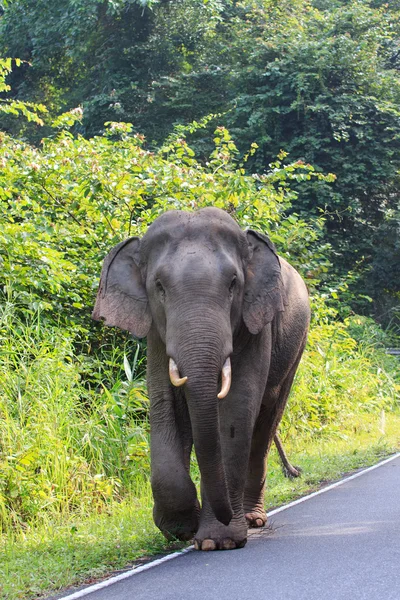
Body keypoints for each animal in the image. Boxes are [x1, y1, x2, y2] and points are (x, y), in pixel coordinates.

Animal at [92, 209, 310, 552]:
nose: (223, 516)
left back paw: (252, 519)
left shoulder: (255, 326)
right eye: (159, 286)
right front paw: (181, 529)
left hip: (295, 347)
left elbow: (236, 409)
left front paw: (217, 541)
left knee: (264, 422)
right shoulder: (156, 333)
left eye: (234, 283)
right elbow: (165, 404)